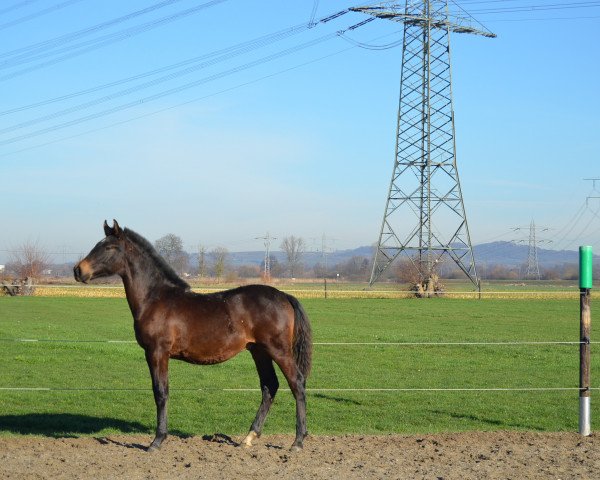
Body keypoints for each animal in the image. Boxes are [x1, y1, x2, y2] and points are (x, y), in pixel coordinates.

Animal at [74, 219, 314, 452]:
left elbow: (161, 392)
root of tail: (284, 295)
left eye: (109, 247)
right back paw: (248, 437)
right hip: (259, 351)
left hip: (277, 350)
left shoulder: (157, 352)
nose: (78, 270)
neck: (156, 298)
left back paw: (297, 442)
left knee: (297, 383)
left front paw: (157, 441)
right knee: (269, 386)